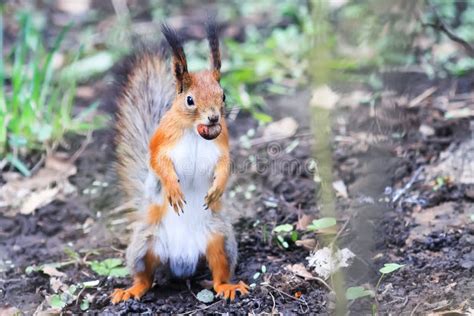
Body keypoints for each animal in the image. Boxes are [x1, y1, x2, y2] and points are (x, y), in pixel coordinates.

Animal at [109, 20, 250, 304]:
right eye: (190, 100)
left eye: (223, 95)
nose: (213, 118)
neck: (195, 132)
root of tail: (181, 260)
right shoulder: (161, 143)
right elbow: (160, 165)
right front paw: (173, 189)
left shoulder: (222, 146)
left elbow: (224, 165)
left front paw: (217, 188)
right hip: (144, 244)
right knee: (144, 278)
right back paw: (130, 290)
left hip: (220, 239)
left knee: (219, 271)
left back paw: (227, 286)